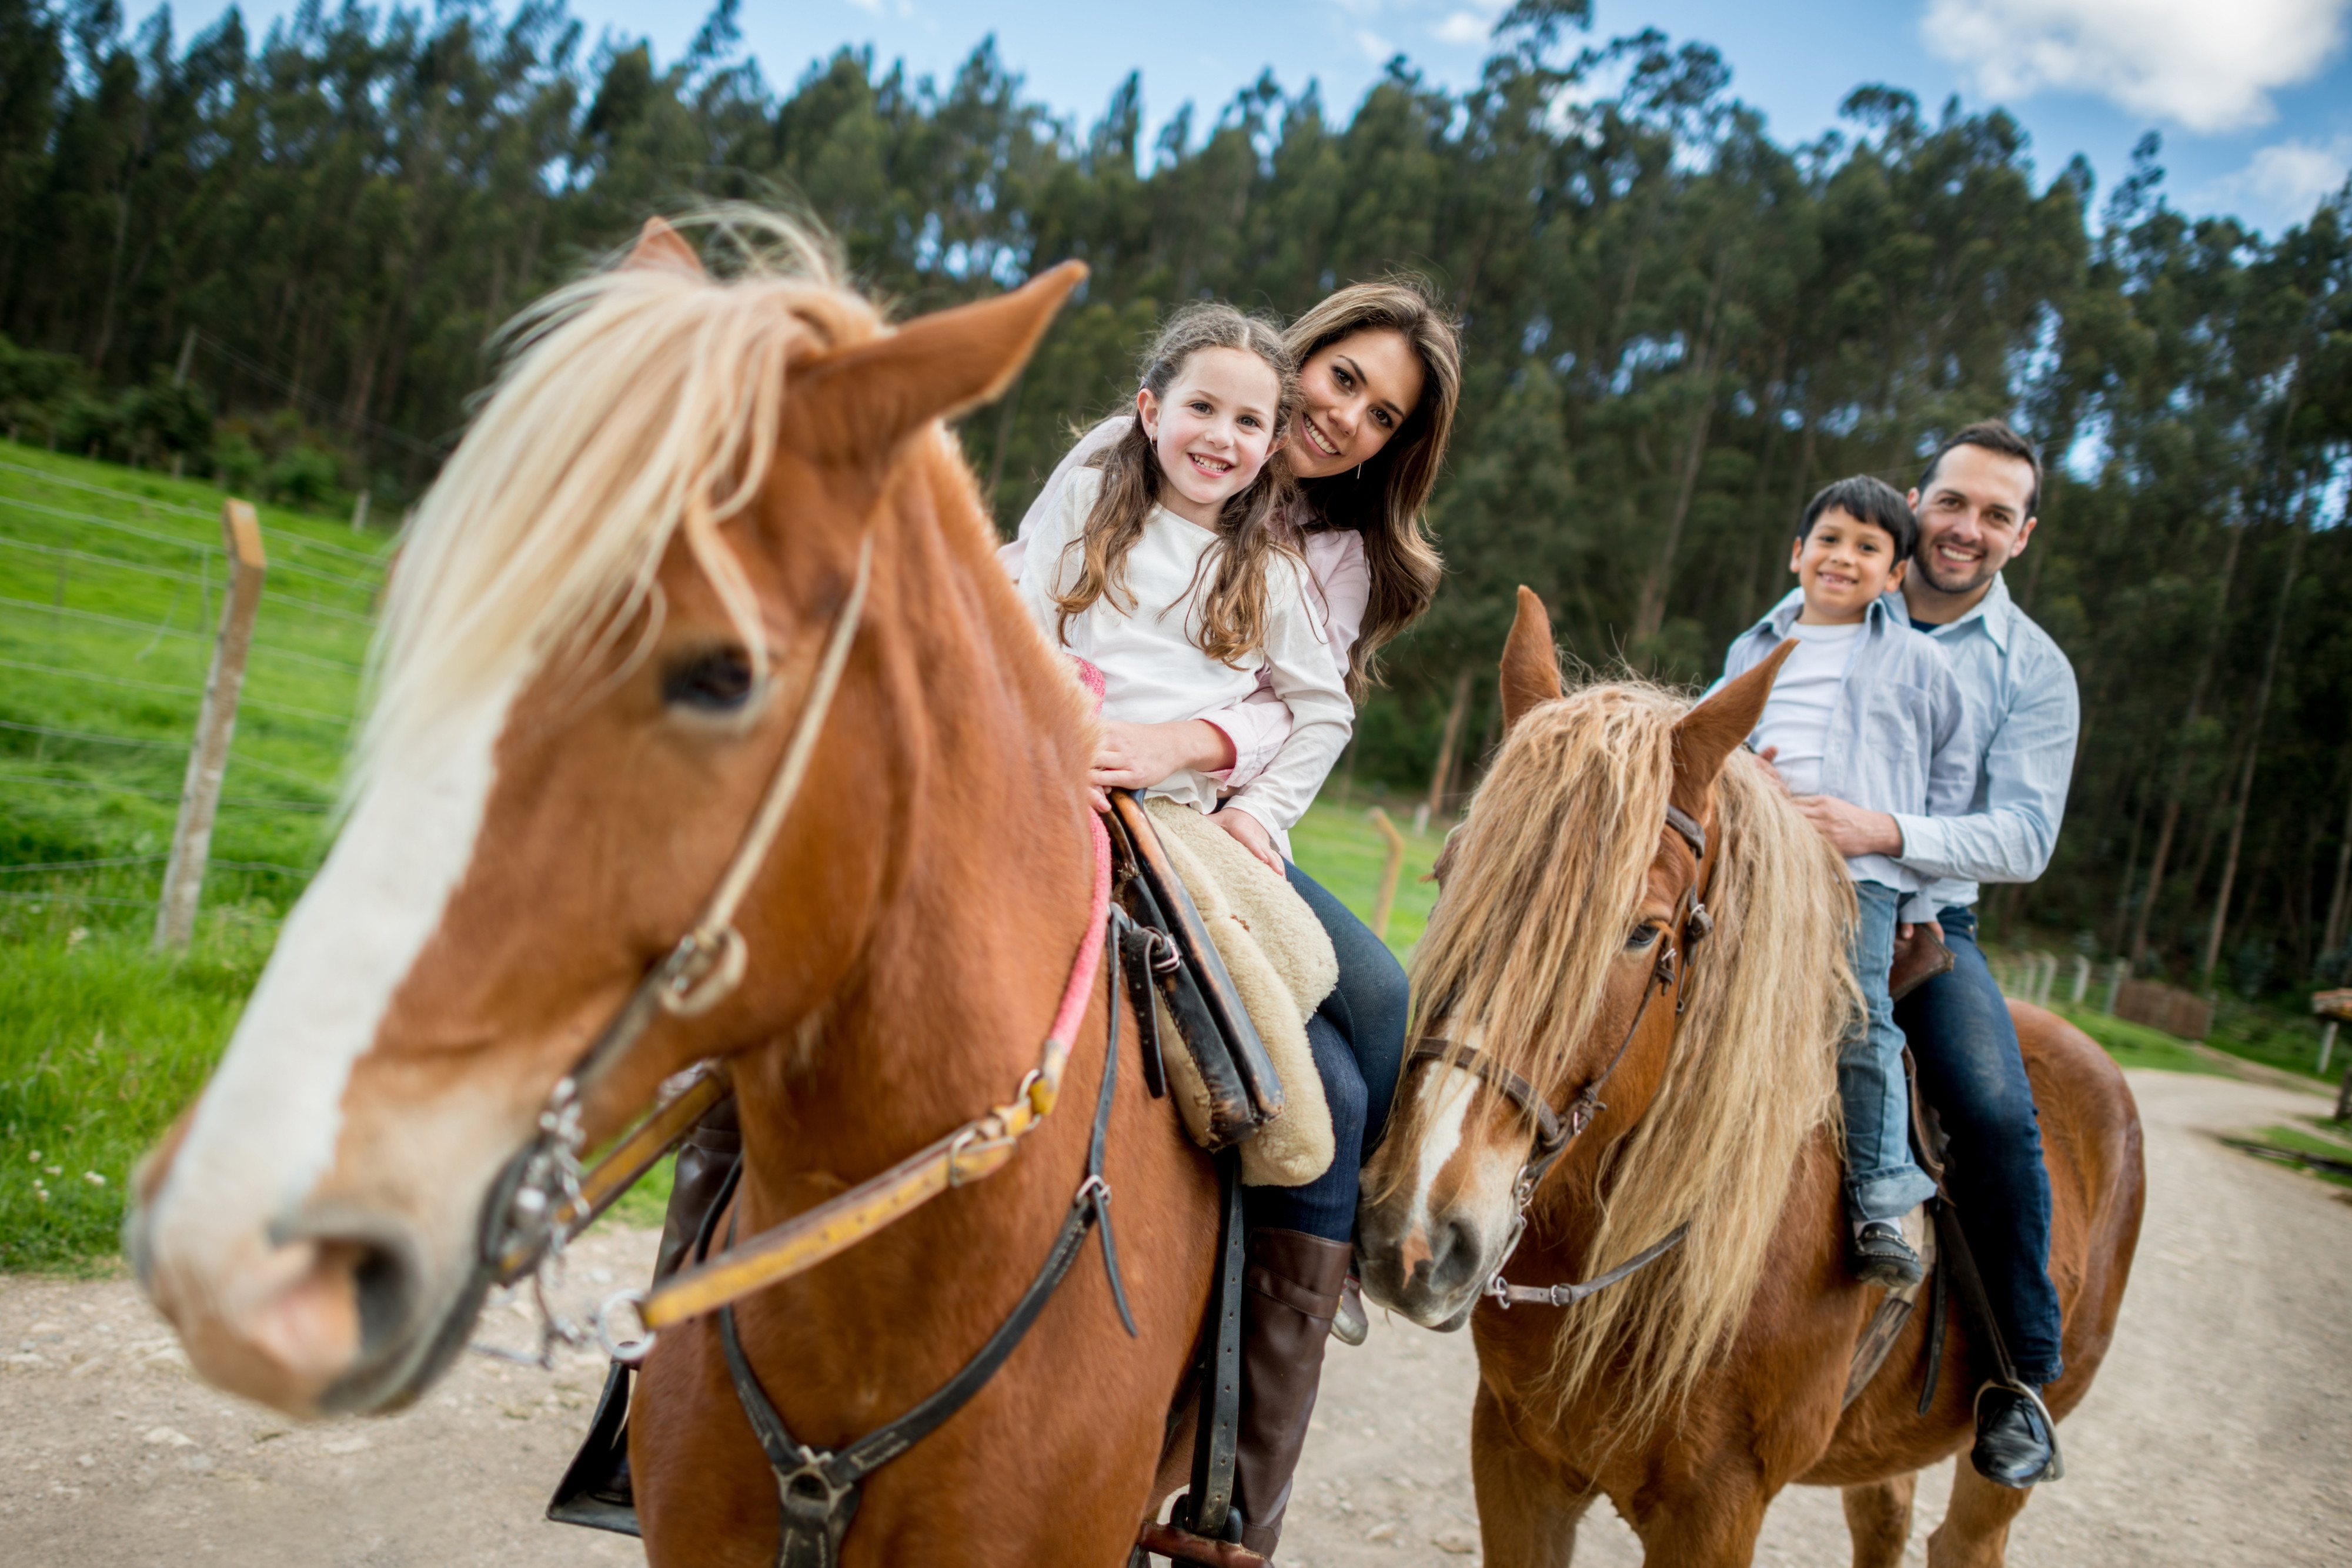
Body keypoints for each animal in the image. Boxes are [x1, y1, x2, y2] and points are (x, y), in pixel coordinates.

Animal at [1364, 592, 2154, 1568]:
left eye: (1641, 930)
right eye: (1449, 874)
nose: (1416, 1228)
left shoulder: (1717, 1505)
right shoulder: (1514, 1457)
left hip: (2000, 1460)